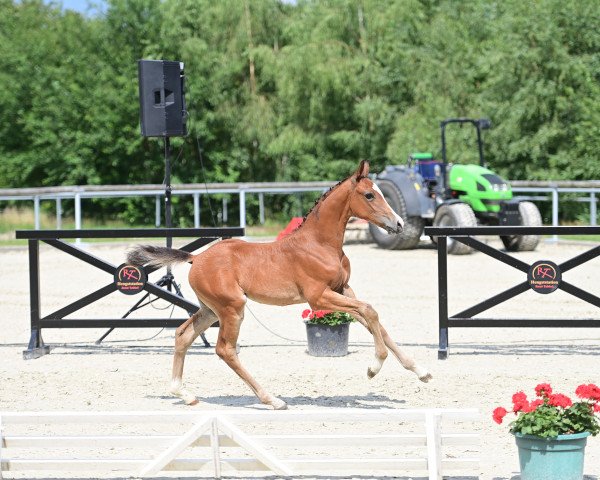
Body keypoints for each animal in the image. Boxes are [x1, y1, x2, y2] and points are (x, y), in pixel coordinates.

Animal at [129, 161, 434, 408]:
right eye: (369, 195)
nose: (398, 224)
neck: (319, 244)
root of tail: (196, 257)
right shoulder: (317, 297)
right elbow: (369, 312)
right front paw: (374, 367)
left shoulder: (343, 289)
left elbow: (374, 320)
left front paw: (421, 372)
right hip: (232, 308)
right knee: (225, 349)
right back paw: (272, 399)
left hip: (210, 309)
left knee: (183, 335)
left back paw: (184, 394)